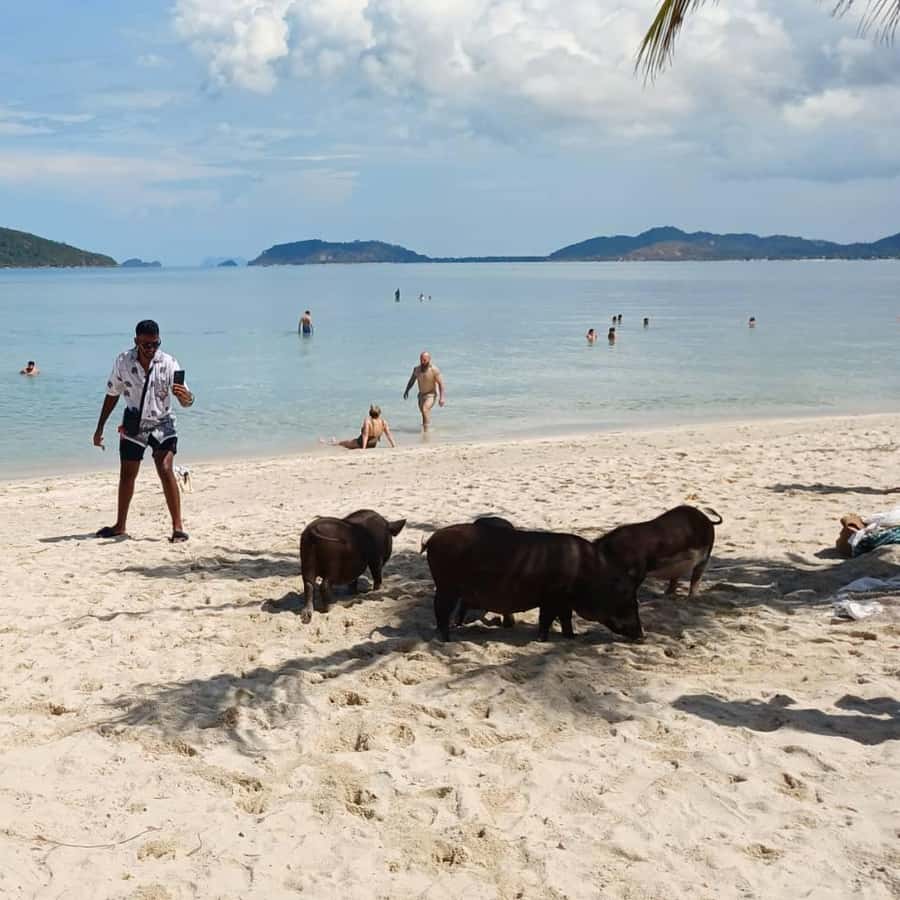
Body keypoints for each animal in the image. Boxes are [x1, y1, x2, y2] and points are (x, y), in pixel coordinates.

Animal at [423, 522, 643, 642]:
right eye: (629, 601)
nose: (642, 636)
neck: (589, 573)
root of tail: (432, 539)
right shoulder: (551, 597)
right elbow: (545, 619)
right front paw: (542, 640)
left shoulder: (563, 601)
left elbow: (565, 619)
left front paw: (571, 637)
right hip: (446, 587)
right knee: (441, 611)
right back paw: (447, 640)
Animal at [594, 505, 722, 598]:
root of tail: (708, 520)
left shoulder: (640, 571)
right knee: (675, 580)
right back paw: (667, 595)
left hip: (706, 555)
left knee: (696, 576)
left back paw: (692, 597)